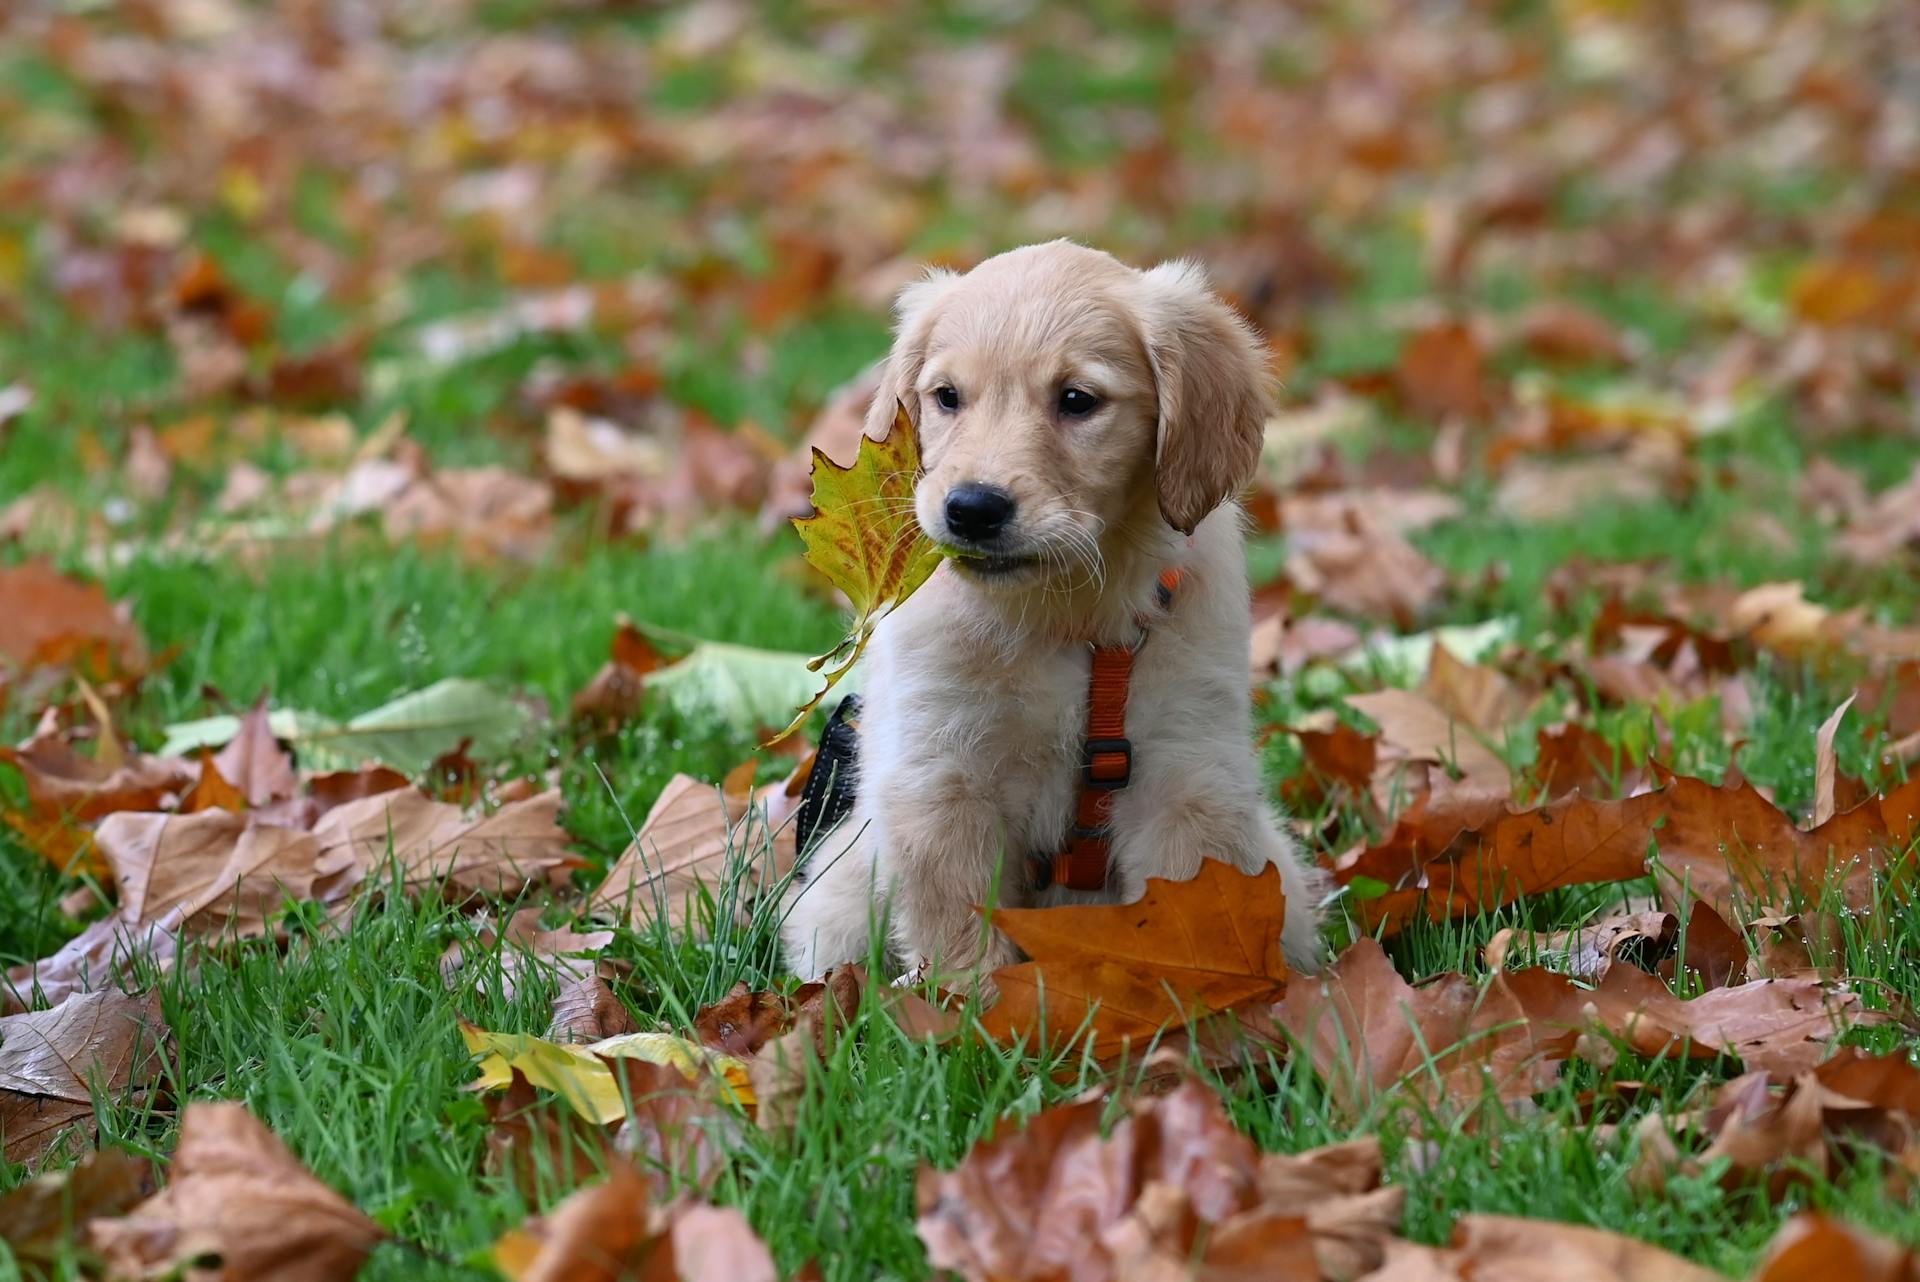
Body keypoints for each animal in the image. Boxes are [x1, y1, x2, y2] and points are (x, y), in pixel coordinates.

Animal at [771, 239, 1328, 982]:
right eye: (947, 398)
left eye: (1076, 401)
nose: (972, 509)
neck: (1065, 614)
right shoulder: (940, 775)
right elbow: (958, 924)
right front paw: (962, 1003)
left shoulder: (1187, 772)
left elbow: (1194, 909)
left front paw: (1214, 996)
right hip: (835, 899)